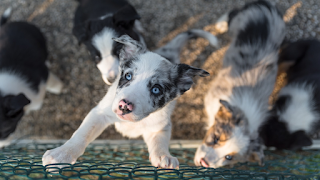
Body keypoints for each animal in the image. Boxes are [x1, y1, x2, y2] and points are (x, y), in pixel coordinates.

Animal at [42, 31, 212, 169]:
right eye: (128, 76)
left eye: (156, 89)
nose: (124, 106)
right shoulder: (100, 113)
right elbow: (82, 134)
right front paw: (62, 154)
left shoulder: (160, 125)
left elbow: (159, 141)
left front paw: (164, 157)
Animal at [194, 0, 284, 168]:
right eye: (215, 138)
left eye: (229, 157)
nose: (204, 163)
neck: (244, 112)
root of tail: (267, 5)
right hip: (238, 20)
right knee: (232, 13)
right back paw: (220, 24)